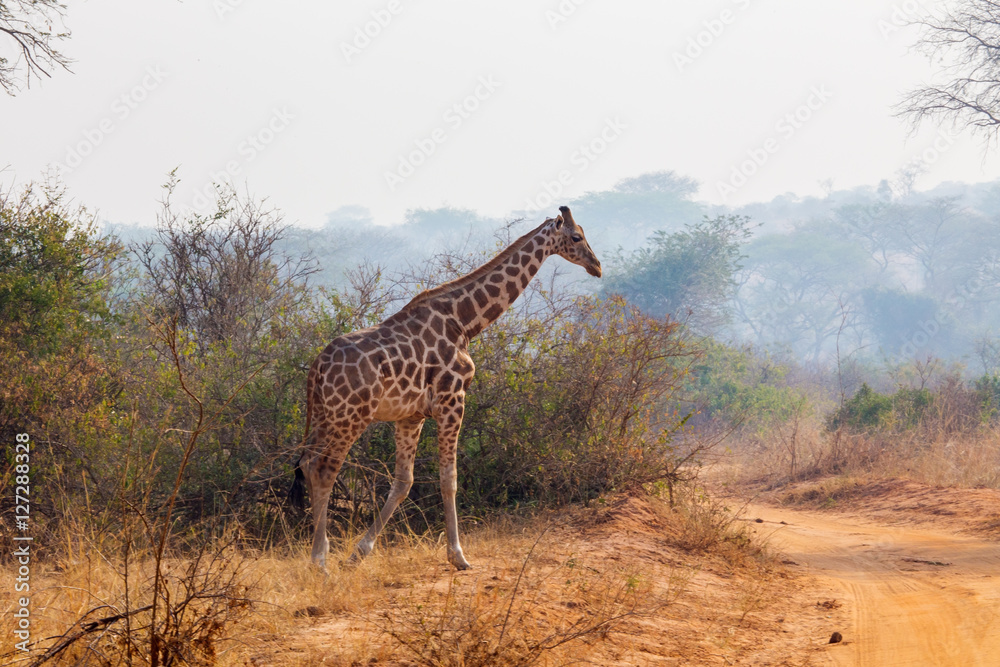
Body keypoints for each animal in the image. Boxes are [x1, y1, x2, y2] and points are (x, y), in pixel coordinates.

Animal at [289, 206, 602, 571]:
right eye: (576, 237)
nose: (597, 266)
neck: (465, 321)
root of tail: (317, 367)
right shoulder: (452, 400)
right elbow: (448, 478)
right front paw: (458, 555)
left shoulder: (410, 416)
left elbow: (403, 482)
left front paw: (359, 552)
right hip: (351, 416)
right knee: (325, 469)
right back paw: (319, 561)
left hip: (326, 415)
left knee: (308, 463)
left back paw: (321, 553)